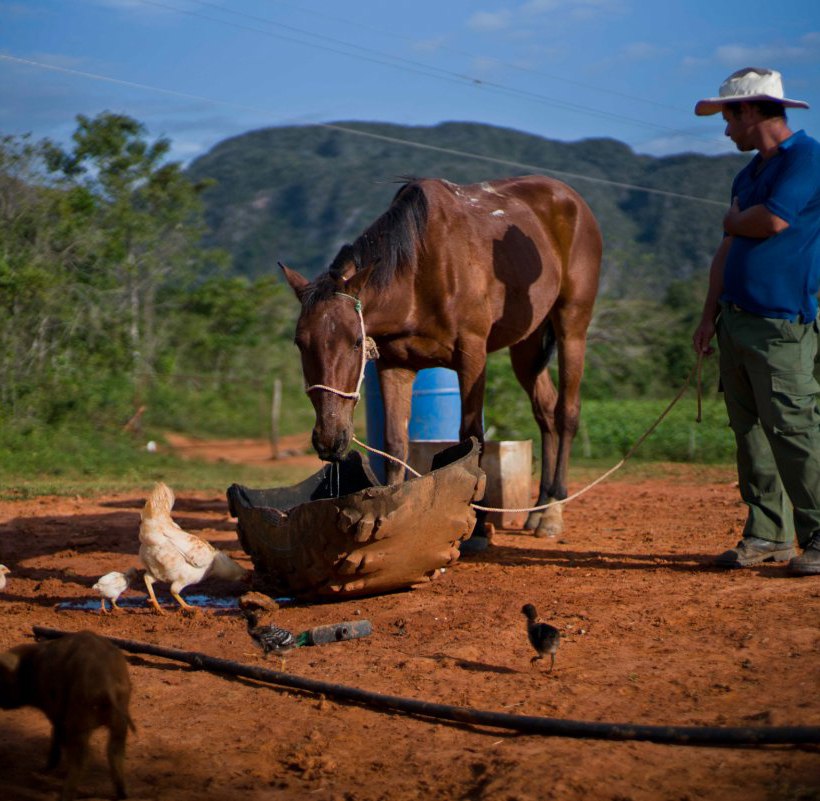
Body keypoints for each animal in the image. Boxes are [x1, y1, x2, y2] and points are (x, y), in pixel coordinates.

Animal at [284, 175, 604, 536]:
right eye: (300, 343)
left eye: (356, 341)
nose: (329, 440)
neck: (420, 271)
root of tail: (571, 199)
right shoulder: (395, 365)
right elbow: (395, 441)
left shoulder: (472, 355)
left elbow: (472, 435)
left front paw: (476, 526)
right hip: (527, 346)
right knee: (546, 412)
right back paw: (539, 507)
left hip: (572, 324)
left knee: (566, 412)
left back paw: (553, 510)